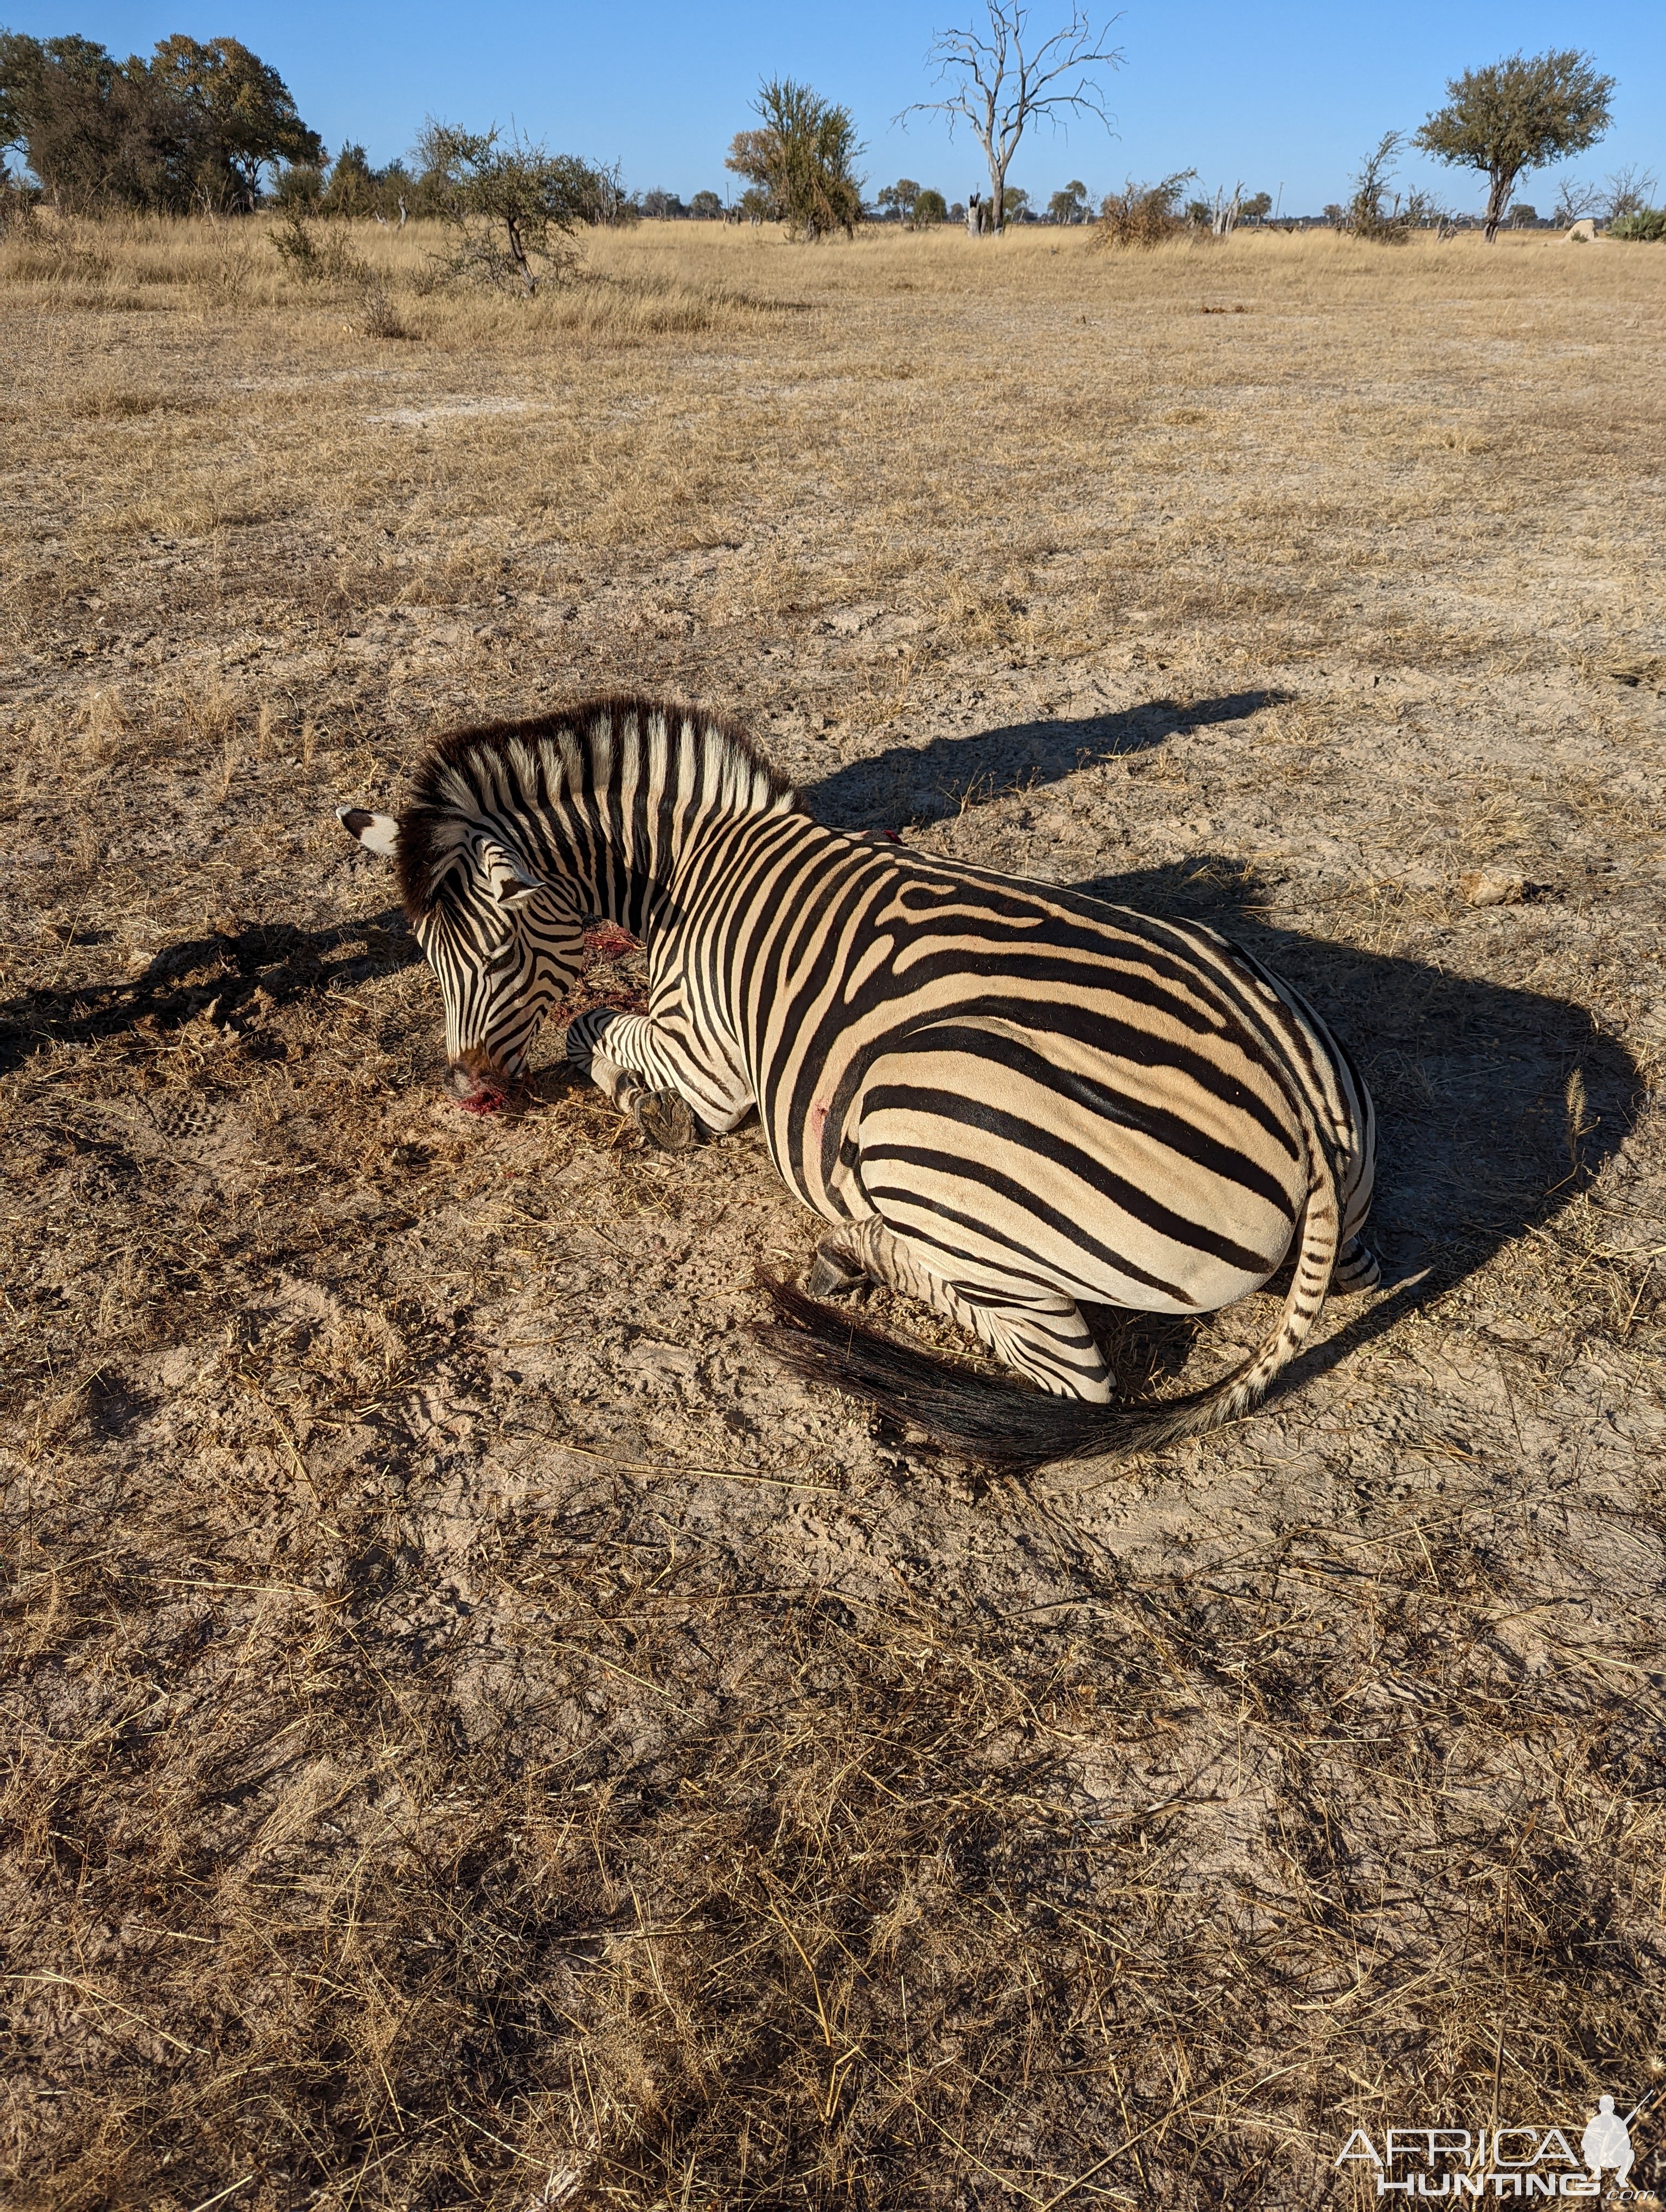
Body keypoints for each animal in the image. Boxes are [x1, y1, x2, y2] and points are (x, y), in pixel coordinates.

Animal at [338, 699, 1380, 1469]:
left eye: (500, 952)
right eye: (423, 952)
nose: (467, 1092)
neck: (689, 871)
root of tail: (1306, 1120)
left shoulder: (706, 1059)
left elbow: (593, 1029)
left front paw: (644, 1108)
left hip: (918, 1119)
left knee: (1066, 1378)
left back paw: (853, 1256)